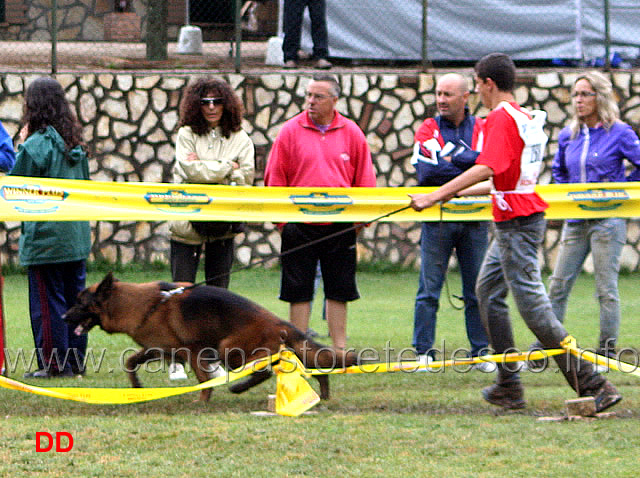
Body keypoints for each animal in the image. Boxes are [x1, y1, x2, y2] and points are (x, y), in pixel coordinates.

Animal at [63, 272, 360, 400]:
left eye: (79, 303)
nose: (64, 318)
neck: (141, 304)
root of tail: (280, 322)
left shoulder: (193, 352)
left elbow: (204, 380)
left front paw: (203, 401)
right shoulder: (158, 348)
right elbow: (130, 362)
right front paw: (136, 387)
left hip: (230, 349)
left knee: (265, 370)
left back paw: (239, 387)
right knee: (308, 367)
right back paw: (324, 392)